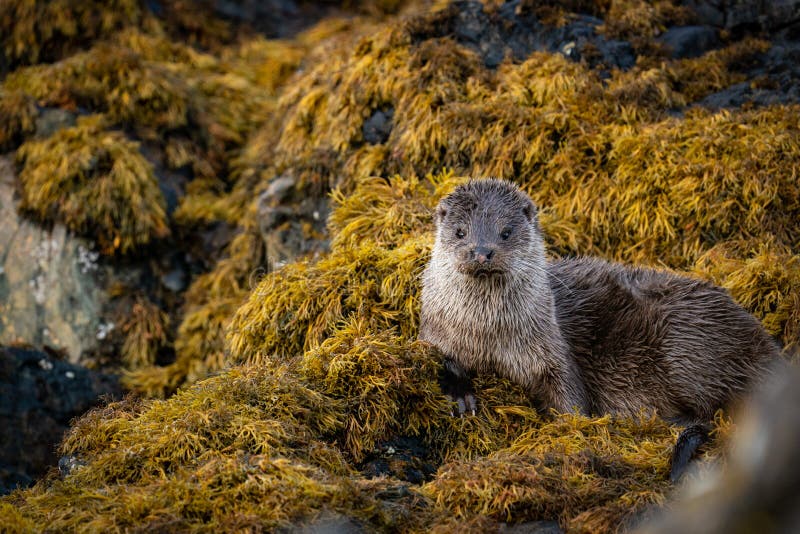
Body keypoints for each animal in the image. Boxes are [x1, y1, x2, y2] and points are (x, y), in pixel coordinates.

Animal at [418, 178, 780, 480]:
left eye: (505, 232)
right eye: (461, 232)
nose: (482, 251)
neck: (490, 337)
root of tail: (763, 345)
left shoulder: (552, 347)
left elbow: (571, 397)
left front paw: (571, 430)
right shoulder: (436, 329)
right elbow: (441, 357)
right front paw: (462, 395)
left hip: (687, 340)